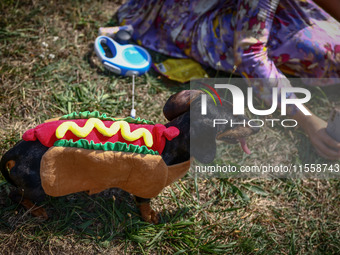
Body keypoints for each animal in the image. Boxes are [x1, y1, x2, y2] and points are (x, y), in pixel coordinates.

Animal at [0, 89, 258, 223]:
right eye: (233, 121)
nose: (257, 127)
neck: (172, 137)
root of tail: (15, 152)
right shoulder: (147, 184)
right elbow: (144, 203)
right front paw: (151, 217)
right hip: (40, 188)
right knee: (16, 195)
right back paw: (37, 211)